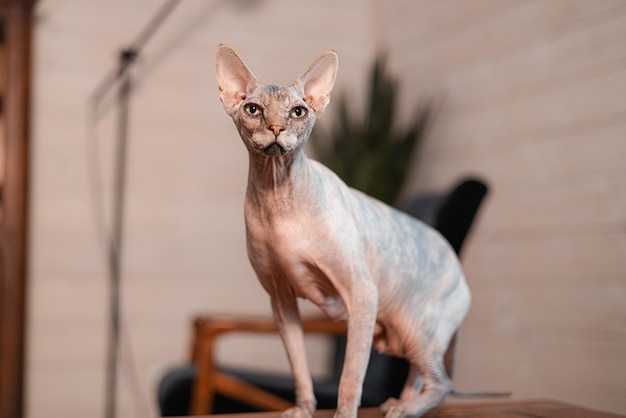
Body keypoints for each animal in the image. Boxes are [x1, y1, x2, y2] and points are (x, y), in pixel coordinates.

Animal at [214, 45, 468, 418]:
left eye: (298, 112)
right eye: (253, 109)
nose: (276, 127)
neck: (278, 197)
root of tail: (458, 266)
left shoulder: (362, 293)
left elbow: (351, 375)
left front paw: (344, 413)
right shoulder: (280, 300)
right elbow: (299, 366)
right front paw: (303, 408)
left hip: (417, 328)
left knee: (443, 382)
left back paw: (407, 409)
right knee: (420, 374)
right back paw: (401, 402)